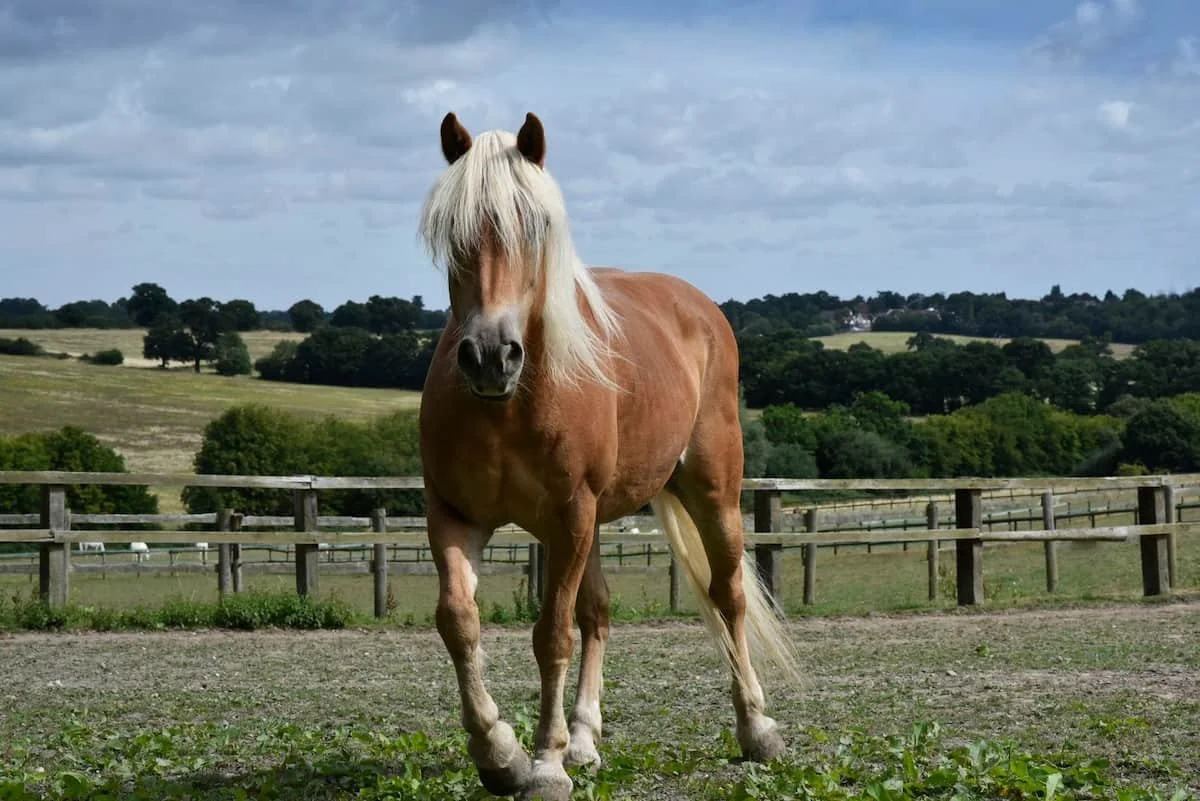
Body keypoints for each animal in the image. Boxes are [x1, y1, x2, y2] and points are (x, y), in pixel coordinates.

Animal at [416, 111, 802, 801]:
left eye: (537, 226)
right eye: (451, 230)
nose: (490, 356)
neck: (507, 406)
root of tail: (699, 308)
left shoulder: (569, 515)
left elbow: (552, 635)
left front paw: (544, 765)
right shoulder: (456, 516)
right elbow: (460, 621)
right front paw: (500, 753)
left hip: (712, 497)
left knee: (728, 595)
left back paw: (756, 728)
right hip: (592, 523)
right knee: (597, 612)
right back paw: (585, 739)